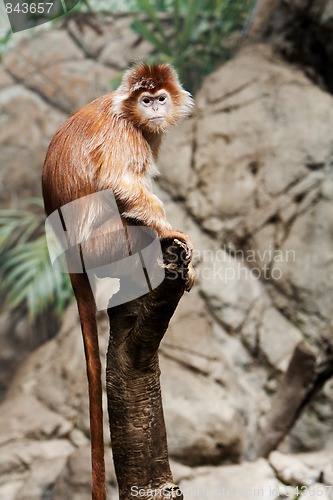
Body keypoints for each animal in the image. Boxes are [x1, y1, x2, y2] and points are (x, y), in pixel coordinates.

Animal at [41, 63, 195, 500]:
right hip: (104, 245)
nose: (155, 109)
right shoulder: (126, 134)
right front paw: (173, 232)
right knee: (132, 218)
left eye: (160, 98)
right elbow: (121, 183)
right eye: (146, 100)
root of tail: (69, 256)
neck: (128, 112)